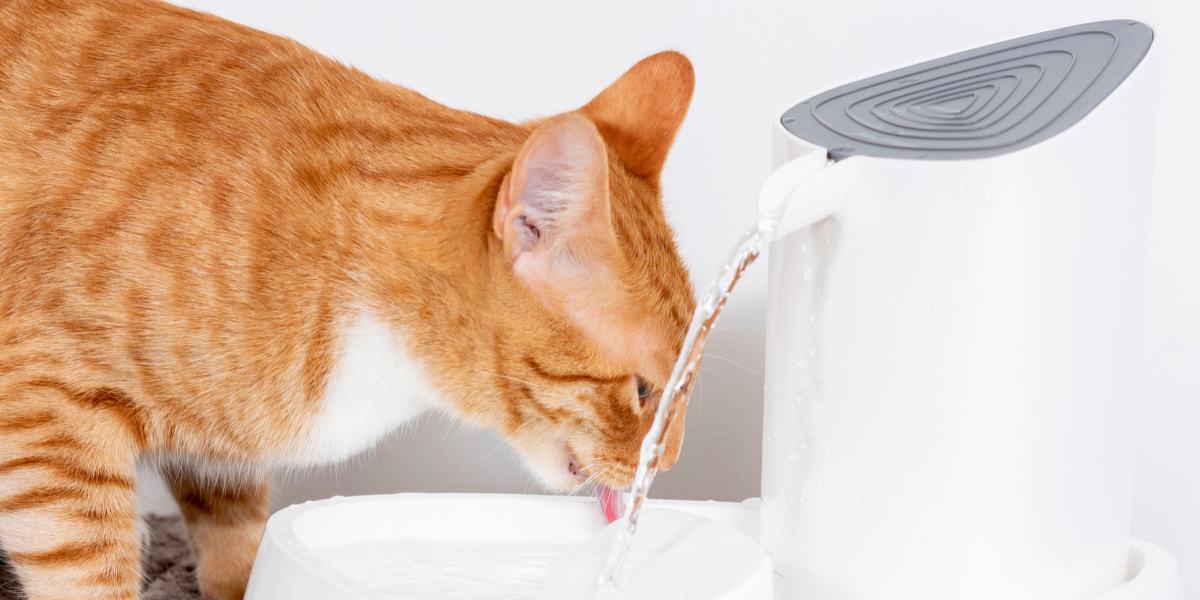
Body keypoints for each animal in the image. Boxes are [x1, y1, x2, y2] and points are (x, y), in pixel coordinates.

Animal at [0, 1, 696, 600]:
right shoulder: (46, 414)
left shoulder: (221, 454)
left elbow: (237, 537)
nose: (667, 465)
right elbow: (89, 568)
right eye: (643, 391)